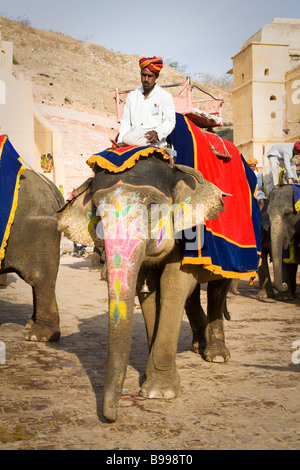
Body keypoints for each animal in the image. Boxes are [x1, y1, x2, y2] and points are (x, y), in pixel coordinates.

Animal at [57, 154, 258, 422]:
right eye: (97, 214)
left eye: (152, 206)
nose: (110, 416)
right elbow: (149, 290)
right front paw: (145, 379)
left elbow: (175, 284)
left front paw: (159, 392)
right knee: (193, 297)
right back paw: (199, 346)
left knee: (217, 290)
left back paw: (215, 355)